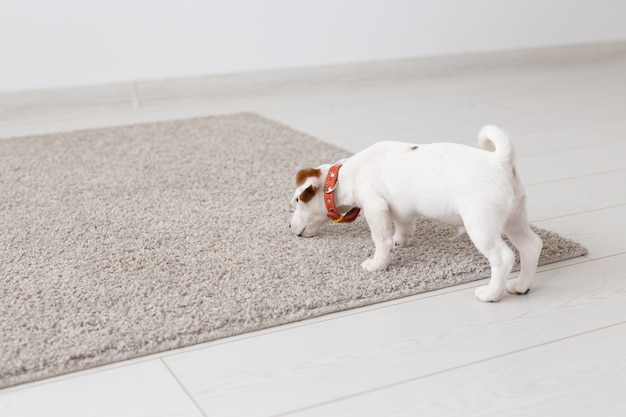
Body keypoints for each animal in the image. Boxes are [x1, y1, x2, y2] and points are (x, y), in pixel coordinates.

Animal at [290, 125, 540, 300]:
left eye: (298, 200)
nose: (290, 228)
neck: (343, 177)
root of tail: (500, 161)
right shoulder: (400, 210)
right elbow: (404, 226)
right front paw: (399, 241)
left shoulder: (375, 207)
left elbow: (380, 240)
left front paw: (377, 264)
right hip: (514, 220)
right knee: (531, 245)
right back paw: (521, 286)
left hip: (481, 226)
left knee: (502, 257)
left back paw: (490, 294)